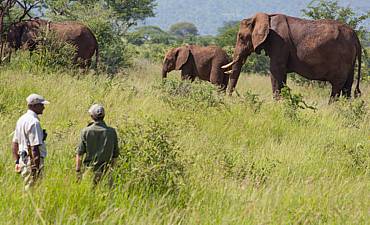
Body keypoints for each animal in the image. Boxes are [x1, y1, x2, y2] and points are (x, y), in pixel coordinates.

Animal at [223, 11, 362, 101]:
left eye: (241, 37)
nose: (229, 98)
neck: (266, 17)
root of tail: (355, 36)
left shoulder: (279, 42)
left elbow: (275, 71)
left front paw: (276, 103)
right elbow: (282, 74)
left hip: (343, 57)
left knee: (337, 85)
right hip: (350, 60)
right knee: (347, 87)